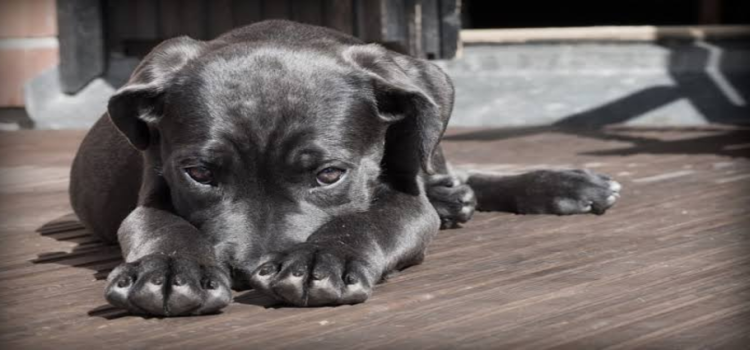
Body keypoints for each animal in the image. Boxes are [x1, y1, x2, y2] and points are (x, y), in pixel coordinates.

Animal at [70, 19, 624, 316]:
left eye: (329, 175)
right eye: (200, 174)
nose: (248, 271)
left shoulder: (404, 200)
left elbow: (370, 219)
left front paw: (323, 260)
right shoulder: (152, 191)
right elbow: (161, 224)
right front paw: (168, 270)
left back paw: (558, 185)